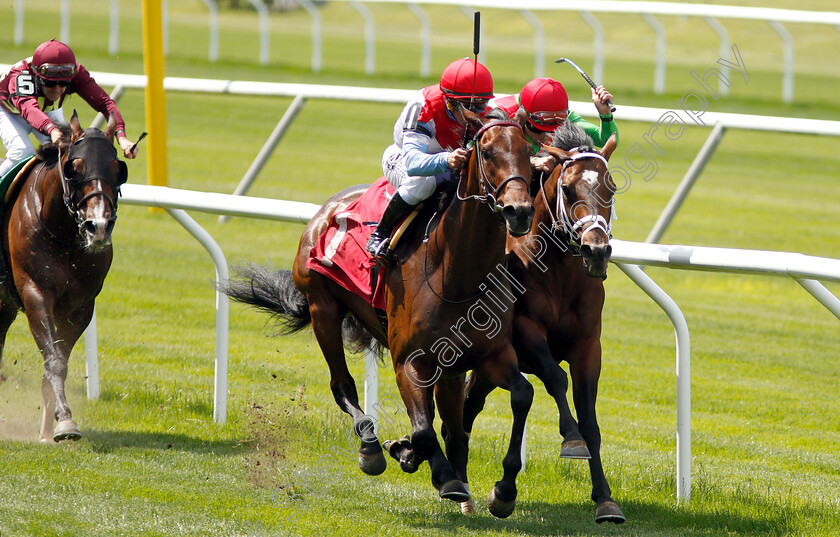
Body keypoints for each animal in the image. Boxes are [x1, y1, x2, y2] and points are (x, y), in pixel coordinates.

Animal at [0, 112, 126, 440]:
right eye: (75, 169)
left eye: (118, 169)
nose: (99, 226)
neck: (64, 234)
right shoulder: (34, 292)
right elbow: (54, 360)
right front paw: (65, 421)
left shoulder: (80, 306)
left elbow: (60, 361)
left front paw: (51, 427)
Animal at [221, 108, 540, 516]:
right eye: (485, 151)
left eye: (526, 151)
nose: (520, 211)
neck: (457, 274)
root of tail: (326, 210)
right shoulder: (410, 361)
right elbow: (423, 430)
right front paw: (442, 475)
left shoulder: (489, 355)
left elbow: (521, 395)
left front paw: (503, 489)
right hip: (323, 308)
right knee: (342, 385)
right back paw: (372, 448)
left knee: (449, 420)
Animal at [460, 123, 624, 520]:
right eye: (568, 188)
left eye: (611, 187)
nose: (597, 250)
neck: (560, 271)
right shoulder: (525, 332)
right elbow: (556, 379)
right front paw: (572, 439)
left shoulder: (587, 346)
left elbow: (589, 416)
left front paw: (605, 498)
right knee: (469, 404)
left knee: (473, 402)